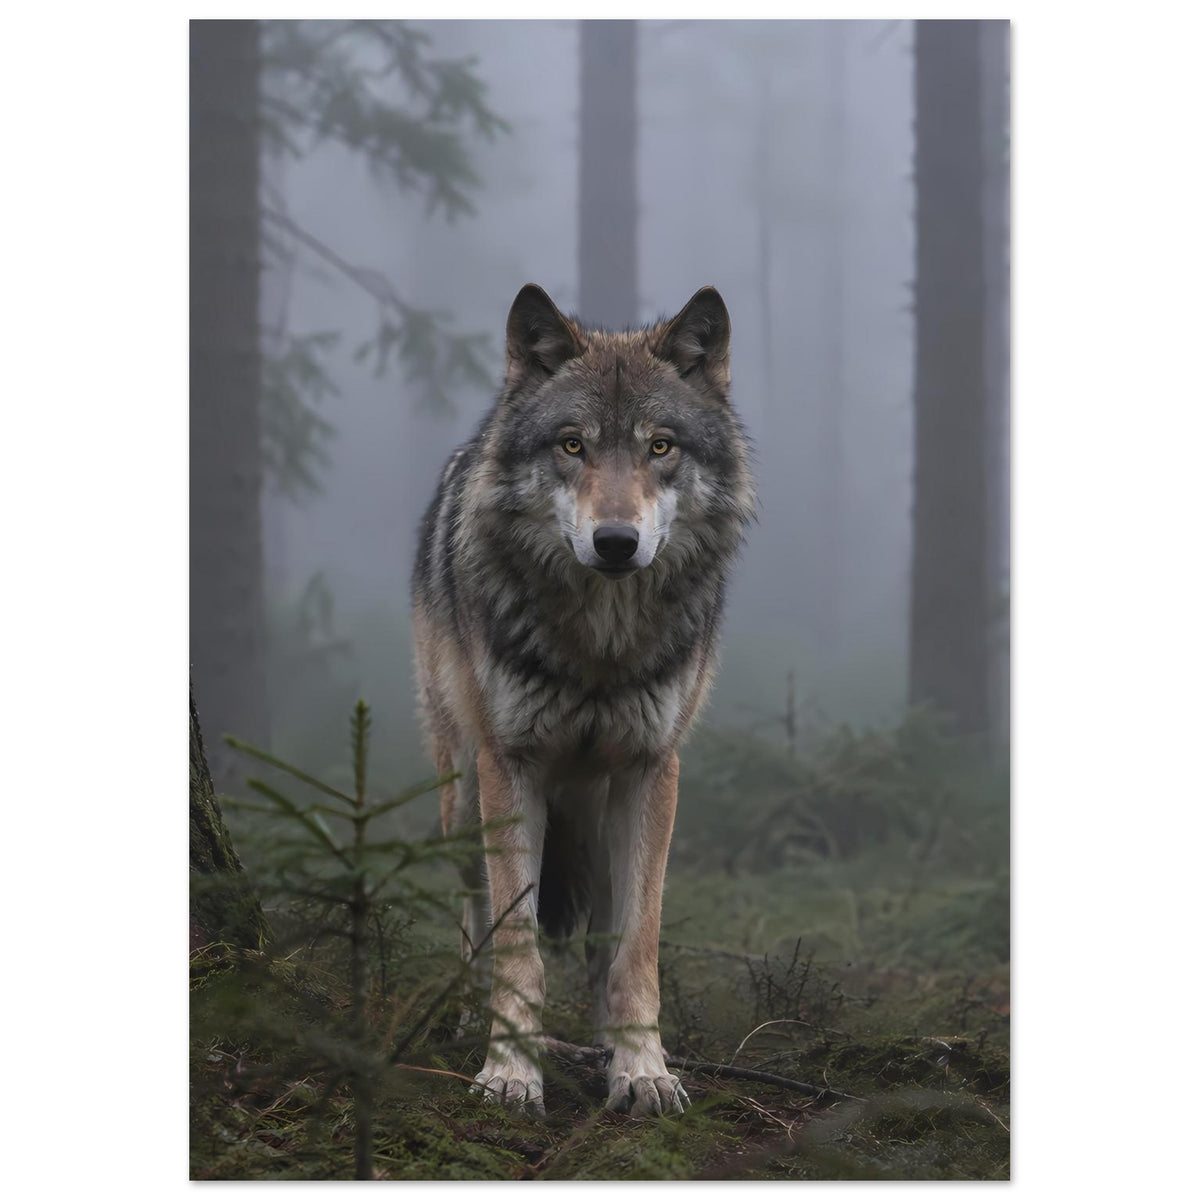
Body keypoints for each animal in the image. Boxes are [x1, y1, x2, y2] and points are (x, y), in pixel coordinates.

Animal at [412, 283, 754, 1117]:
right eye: (572, 446)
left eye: (661, 447)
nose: (616, 543)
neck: (600, 645)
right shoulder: (511, 765)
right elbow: (518, 946)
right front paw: (509, 1072)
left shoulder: (651, 770)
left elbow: (637, 949)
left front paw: (643, 1069)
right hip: (462, 798)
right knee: (473, 918)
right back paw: (463, 1019)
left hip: (598, 816)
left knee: (602, 936)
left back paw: (605, 1044)